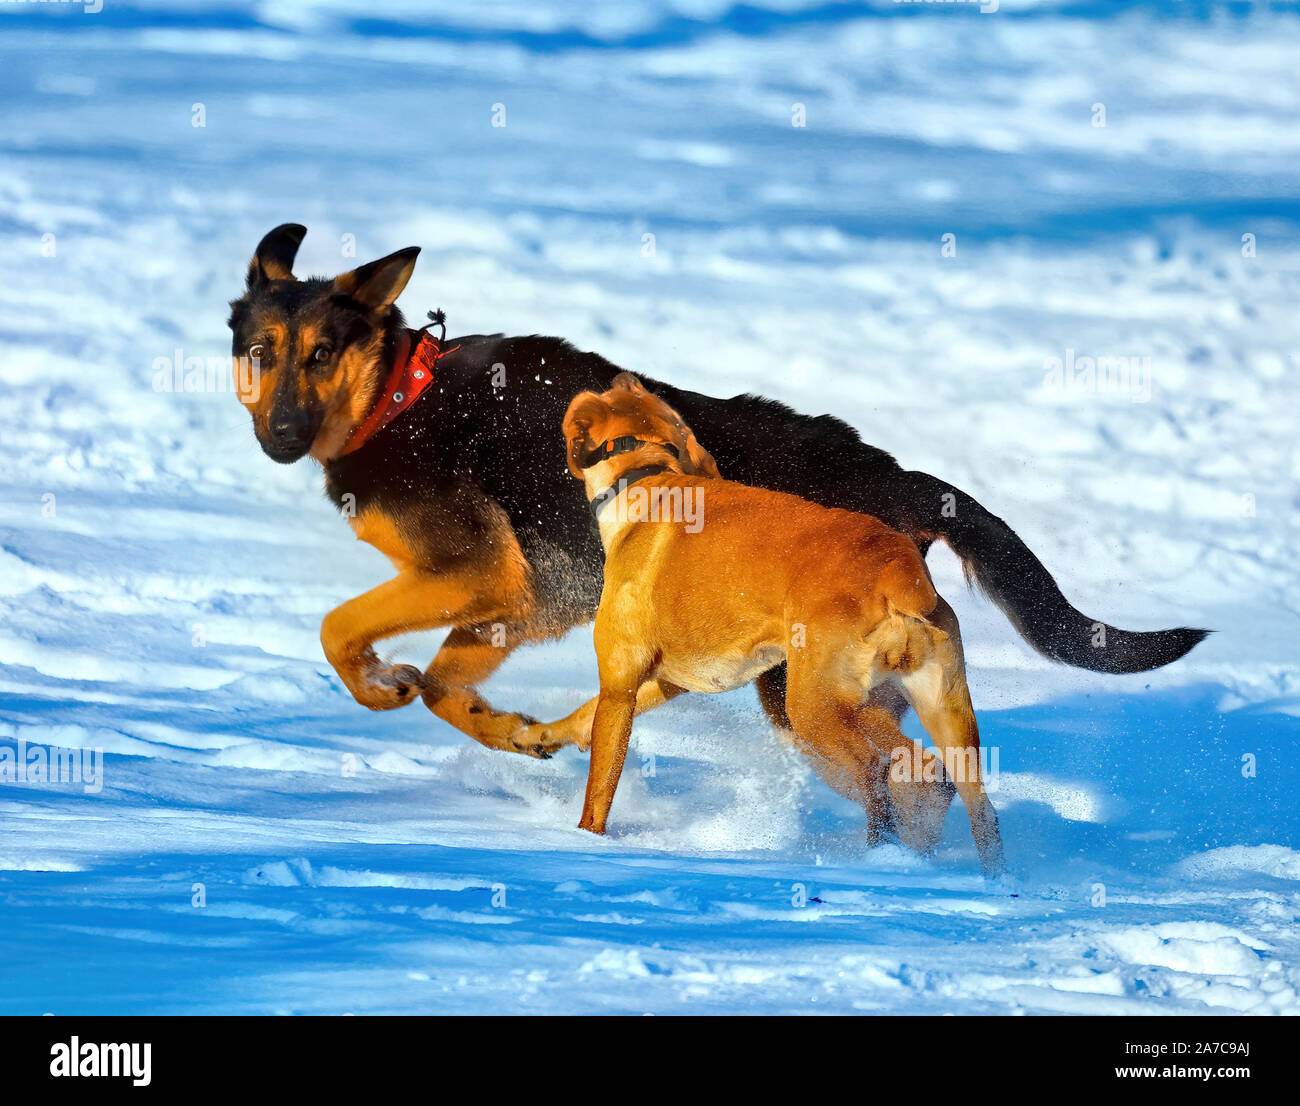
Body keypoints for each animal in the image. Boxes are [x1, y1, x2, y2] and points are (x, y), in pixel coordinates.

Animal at [561, 376, 1003, 878]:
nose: (623, 376)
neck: (649, 477)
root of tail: (895, 568)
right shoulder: (671, 678)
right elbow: (577, 718)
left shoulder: (620, 687)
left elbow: (599, 789)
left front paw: (584, 841)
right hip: (931, 711)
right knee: (957, 790)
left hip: (815, 710)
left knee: (882, 771)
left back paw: (883, 850)